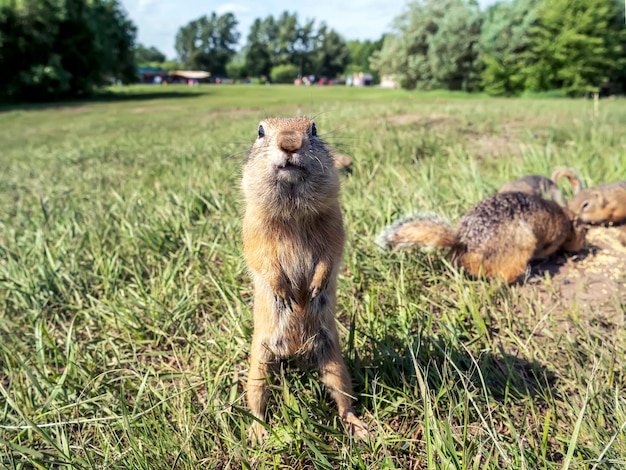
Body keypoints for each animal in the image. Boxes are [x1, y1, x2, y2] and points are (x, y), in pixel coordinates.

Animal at [239, 115, 366, 442]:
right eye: (260, 131)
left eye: (314, 129)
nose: (289, 143)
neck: (293, 211)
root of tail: (296, 352)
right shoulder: (254, 227)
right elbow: (262, 258)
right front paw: (285, 292)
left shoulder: (334, 222)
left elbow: (330, 254)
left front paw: (315, 287)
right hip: (258, 364)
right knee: (257, 399)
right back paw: (258, 433)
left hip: (334, 361)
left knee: (343, 397)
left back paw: (359, 427)